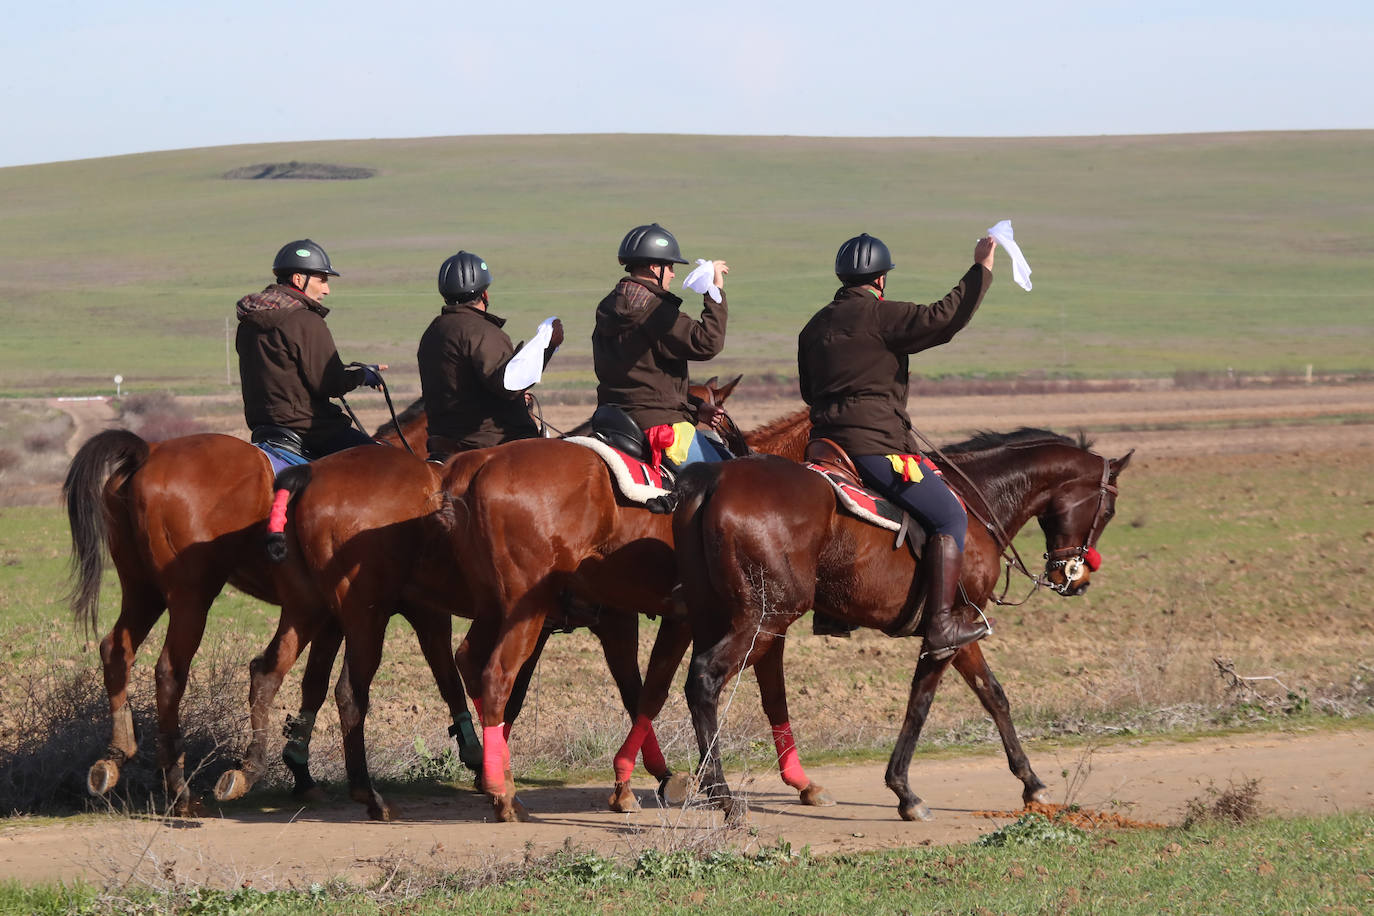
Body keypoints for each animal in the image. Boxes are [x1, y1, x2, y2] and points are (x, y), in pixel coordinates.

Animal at [63, 403, 423, 813]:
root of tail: (148, 452)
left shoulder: (326, 616)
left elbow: (310, 685)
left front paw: (301, 776)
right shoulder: (338, 616)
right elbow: (315, 685)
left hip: (143, 590)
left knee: (116, 649)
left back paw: (115, 756)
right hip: (191, 596)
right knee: (170, 671)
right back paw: (180, 789)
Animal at [445, 403, 807, 818]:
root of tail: (481, 463)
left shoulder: (620, 619)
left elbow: (639, 691)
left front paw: (636, 781)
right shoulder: (706, 619)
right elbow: (675, 689)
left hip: (496, 608)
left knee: (469, 660)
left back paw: (494, 775)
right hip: (526, 612)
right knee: (497, 677)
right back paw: (501, 790)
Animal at [670, 431, 1132, 823]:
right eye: (1108, 511)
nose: (1075, 579)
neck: (979, 502)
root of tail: (713, 480)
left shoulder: (963, 635)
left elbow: (993, 696)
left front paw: (1031, 782)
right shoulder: (951, 631)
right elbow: (921, 704)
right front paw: (904, 792)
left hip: (717, 615)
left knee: (699, 684)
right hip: (764, 620)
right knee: (706, 679)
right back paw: (724, 797)